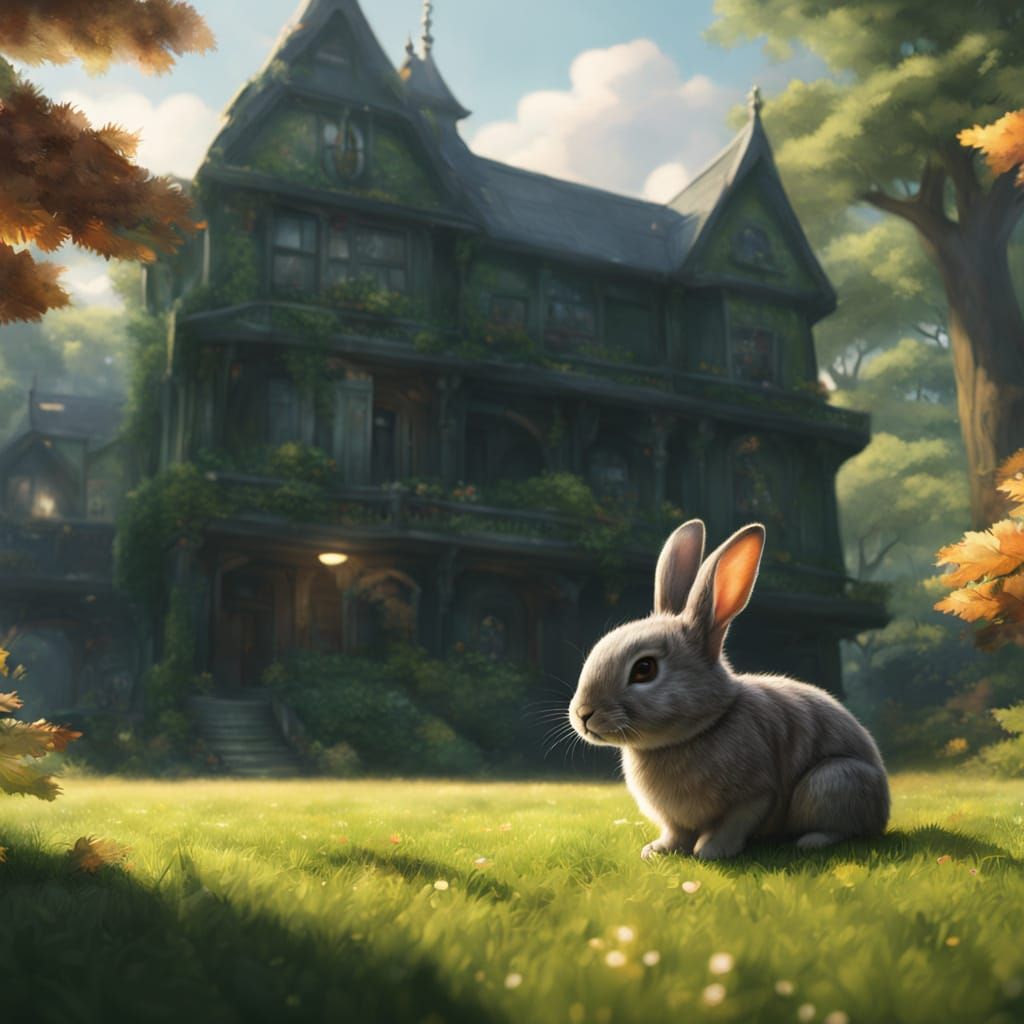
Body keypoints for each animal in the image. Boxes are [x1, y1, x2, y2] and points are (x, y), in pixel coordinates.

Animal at [568, 519, 890, 861]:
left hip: (833, 780)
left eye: (645, 669)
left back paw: (811, 841)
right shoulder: (674, 819)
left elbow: (733, 824)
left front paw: (710, 851)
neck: (698, 730)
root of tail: (883, 804)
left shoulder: (755, 795)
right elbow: (675, 833)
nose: (583, 713)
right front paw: (658, 851)